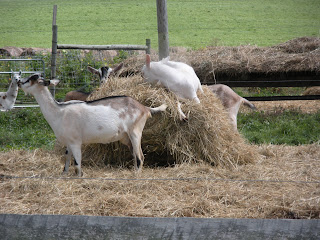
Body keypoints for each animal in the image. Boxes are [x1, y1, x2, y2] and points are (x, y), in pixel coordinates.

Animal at [17, 73, 168, 176]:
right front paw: (64, 174)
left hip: (135, 132)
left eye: (30, 79)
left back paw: (136, 175)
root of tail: (145, 108)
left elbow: (77, 164)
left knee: (140, 157)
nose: (18, 81)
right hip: (126, 137)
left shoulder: (76, 142)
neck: (59, 112)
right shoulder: (69, 142)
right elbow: (67, 159)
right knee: (136, 155)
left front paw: (80, 177)